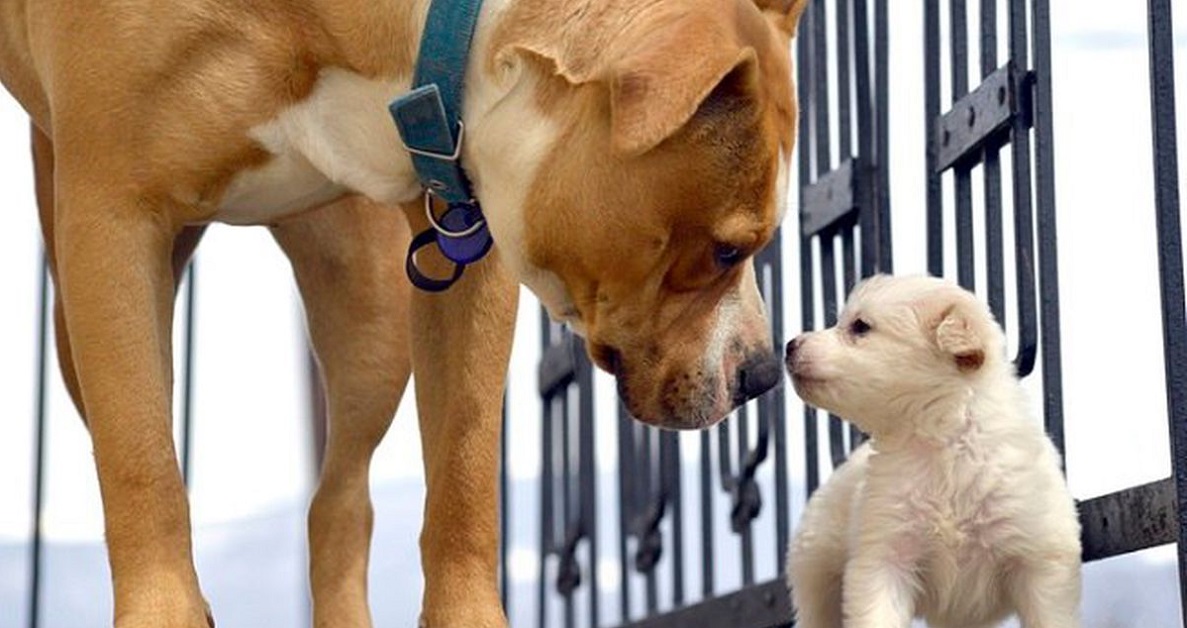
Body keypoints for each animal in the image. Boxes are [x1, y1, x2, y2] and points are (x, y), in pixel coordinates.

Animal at [0, 0, 807, 622]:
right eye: (729, 250)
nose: (763, 374)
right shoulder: (110, 225)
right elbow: (142, 467)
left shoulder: (469, 227)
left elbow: (464, 470)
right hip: (78, 315)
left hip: (368, 318)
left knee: (338, 503)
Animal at [783, 274, 1082, 626]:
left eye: (860, 326)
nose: (790, 345)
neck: (942, 444)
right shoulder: (884, 555)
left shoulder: (1040, 562)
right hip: (815, 569)